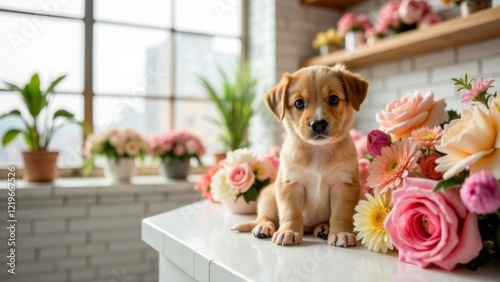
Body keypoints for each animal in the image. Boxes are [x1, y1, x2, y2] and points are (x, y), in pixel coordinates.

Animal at [232, 64, 370, 247]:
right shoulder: (289, 183)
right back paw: (263, 227)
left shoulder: (344, 184)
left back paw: (323, 228)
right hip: (268, 196)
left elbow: (341, 213)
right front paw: (288, 232)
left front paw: (341, 233)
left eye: (333, 99)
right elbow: (291, 212)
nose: (318, 124)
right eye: (299, 103)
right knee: (265, 217)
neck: (319, 151)